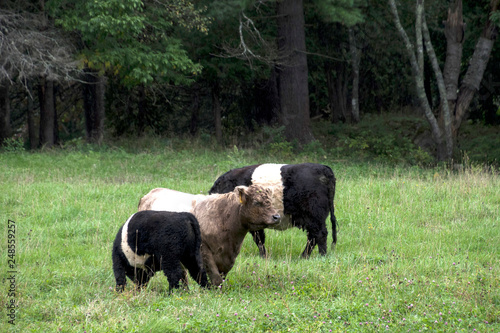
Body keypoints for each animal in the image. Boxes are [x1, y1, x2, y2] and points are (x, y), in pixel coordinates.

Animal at [209, 162, 338, 258]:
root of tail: (324, 168)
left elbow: (258, 239)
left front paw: (263, 256)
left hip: (314, 215)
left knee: (320, 234)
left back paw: (320, 255)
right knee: (313, 236)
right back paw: (305, 256)